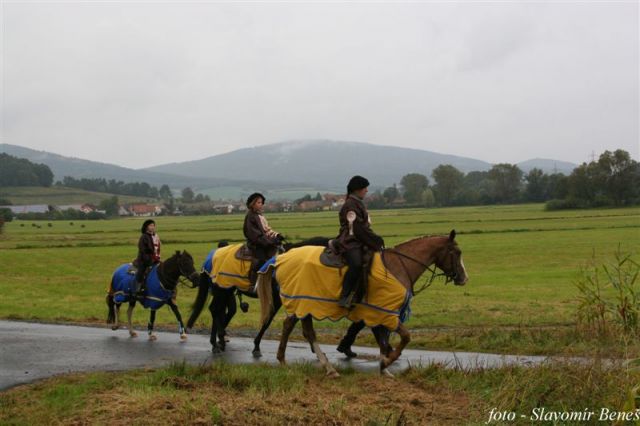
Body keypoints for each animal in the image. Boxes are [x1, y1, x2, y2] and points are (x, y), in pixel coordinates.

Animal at [186, 238, 330, 354]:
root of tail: (210, 258)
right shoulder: (277, 298)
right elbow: (268, 321)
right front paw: (256, 347)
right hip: (222, 289)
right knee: (215, 309)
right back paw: (218, 341)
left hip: (225, 290)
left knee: (217, 310)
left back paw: (217, 341)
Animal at [258, 231, 468, 378]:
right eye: (457, 252)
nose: (464, 278)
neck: (397, 267)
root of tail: (282, 257)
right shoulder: (385, 313)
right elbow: (404, 337)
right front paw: (387, 363)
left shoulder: (377, 314)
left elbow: (383, 341)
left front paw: (384, 368)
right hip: (303, 302)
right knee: (306, 332)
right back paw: (328, 368)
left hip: (302, 304)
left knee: (291, 326)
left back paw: (284, 360)